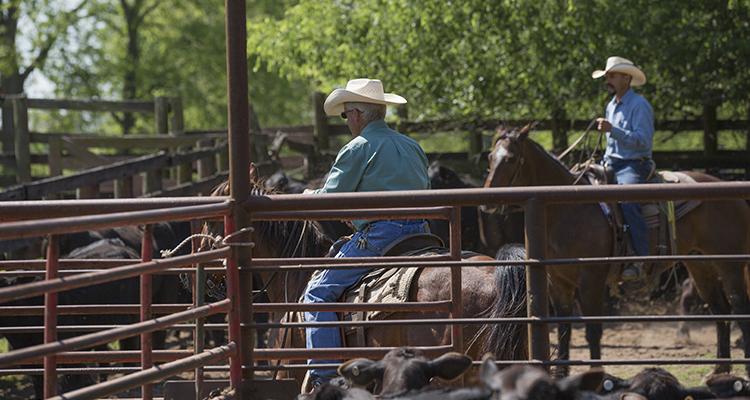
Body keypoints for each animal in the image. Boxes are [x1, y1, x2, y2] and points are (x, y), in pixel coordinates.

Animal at [484, 124, 750, 376]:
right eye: (490, 156)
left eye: (510, 158)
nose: (487, 201)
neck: (566, 207)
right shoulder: (558, 280)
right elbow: (564, 329)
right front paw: (561, 373)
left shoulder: (591, 278)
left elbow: (592, 329)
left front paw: (596, 373)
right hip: (700, 263)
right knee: (720, 309)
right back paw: (720, 368)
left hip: (729, 263)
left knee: (739, 306)